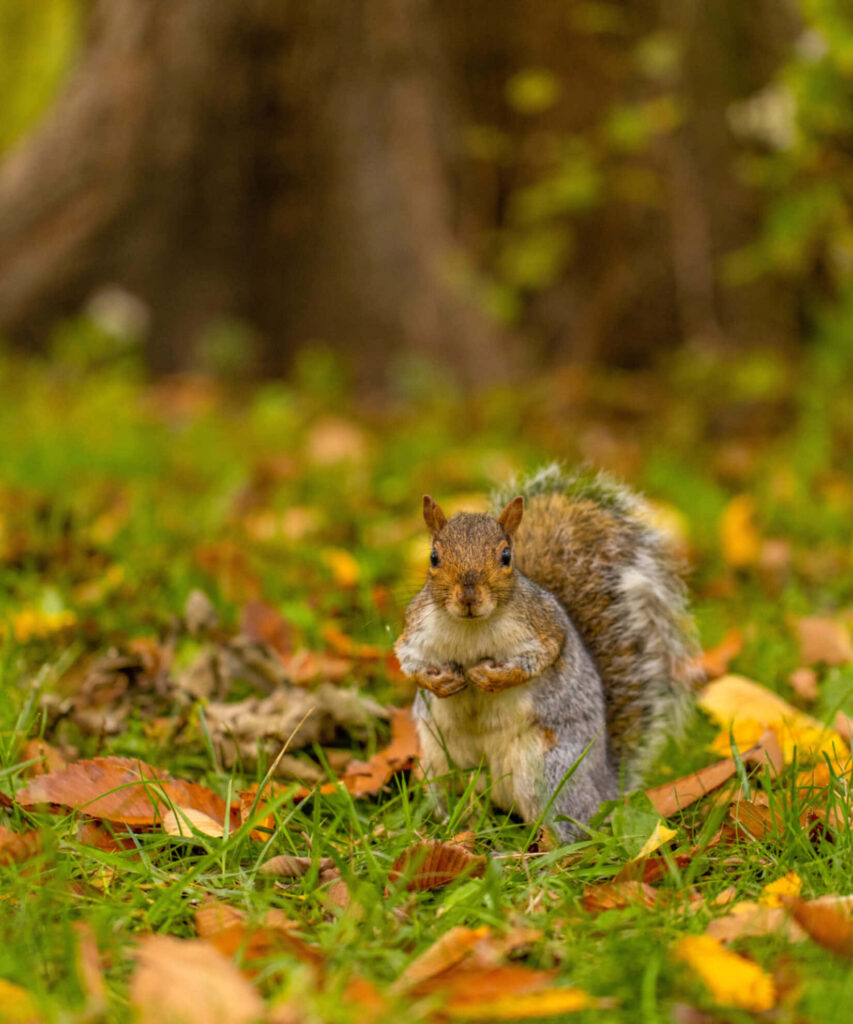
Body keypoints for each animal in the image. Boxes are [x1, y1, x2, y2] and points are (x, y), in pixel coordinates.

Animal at [394, 464, 701, 840]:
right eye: (434, 557)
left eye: (506, 556)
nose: (468, 595)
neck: (471, 628)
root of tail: (604, 789)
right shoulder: (415, 633)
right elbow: (410, 663)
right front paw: (441, 683)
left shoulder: (544, 627)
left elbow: (540, 659)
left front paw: (491, 678)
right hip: (440, 766)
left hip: (550, 772)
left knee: (567, 829)